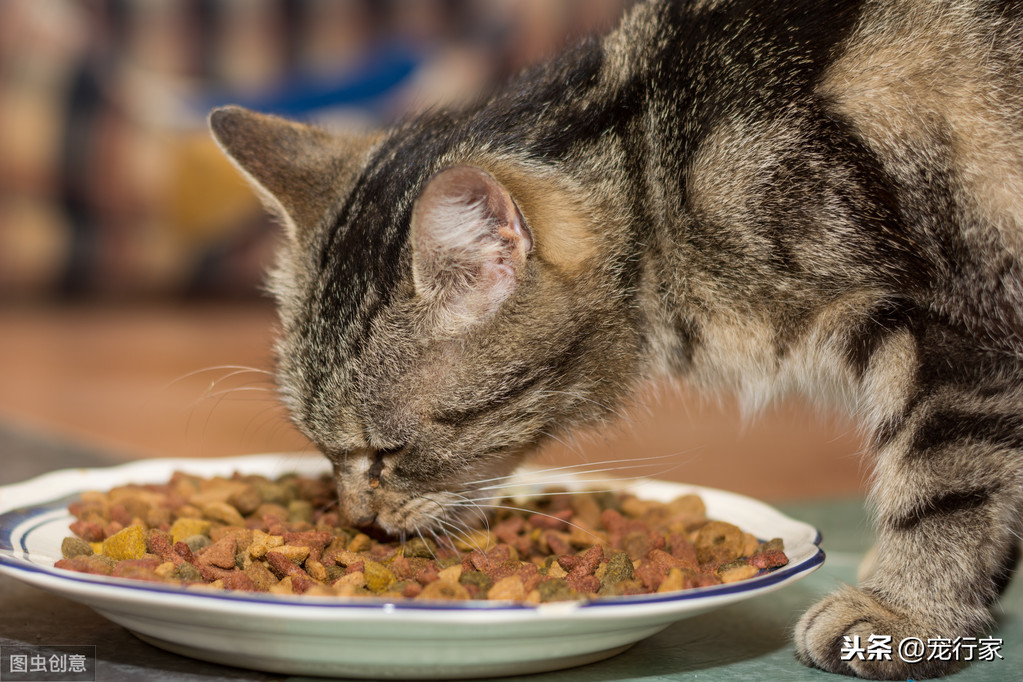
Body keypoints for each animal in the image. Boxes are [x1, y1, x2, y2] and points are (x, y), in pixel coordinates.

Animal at [207, 0, 1023, 678]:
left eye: (386, 453)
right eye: (319, 449)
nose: (356, 520)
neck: (657, 170)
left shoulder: (960, 334)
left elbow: (944, 490)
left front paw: (904, 612)